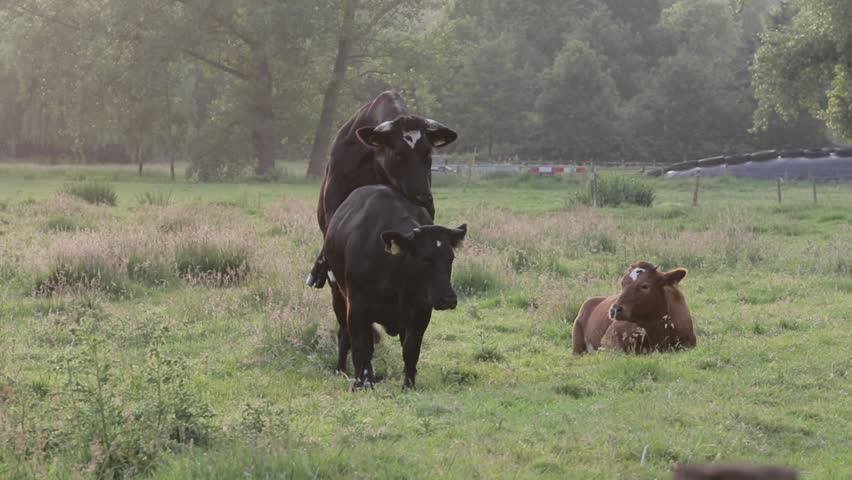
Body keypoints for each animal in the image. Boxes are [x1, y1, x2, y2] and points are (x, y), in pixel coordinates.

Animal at [322, 184, 466, 390]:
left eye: (451, 258)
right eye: (425, 259)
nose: (449, 299)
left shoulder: (421, 310)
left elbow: (410, 348)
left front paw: (409, 384)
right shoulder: (357, 308)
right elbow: (362, 346)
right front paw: (363, 383)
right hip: (338, 296)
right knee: (344, 334)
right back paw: (341, 370)